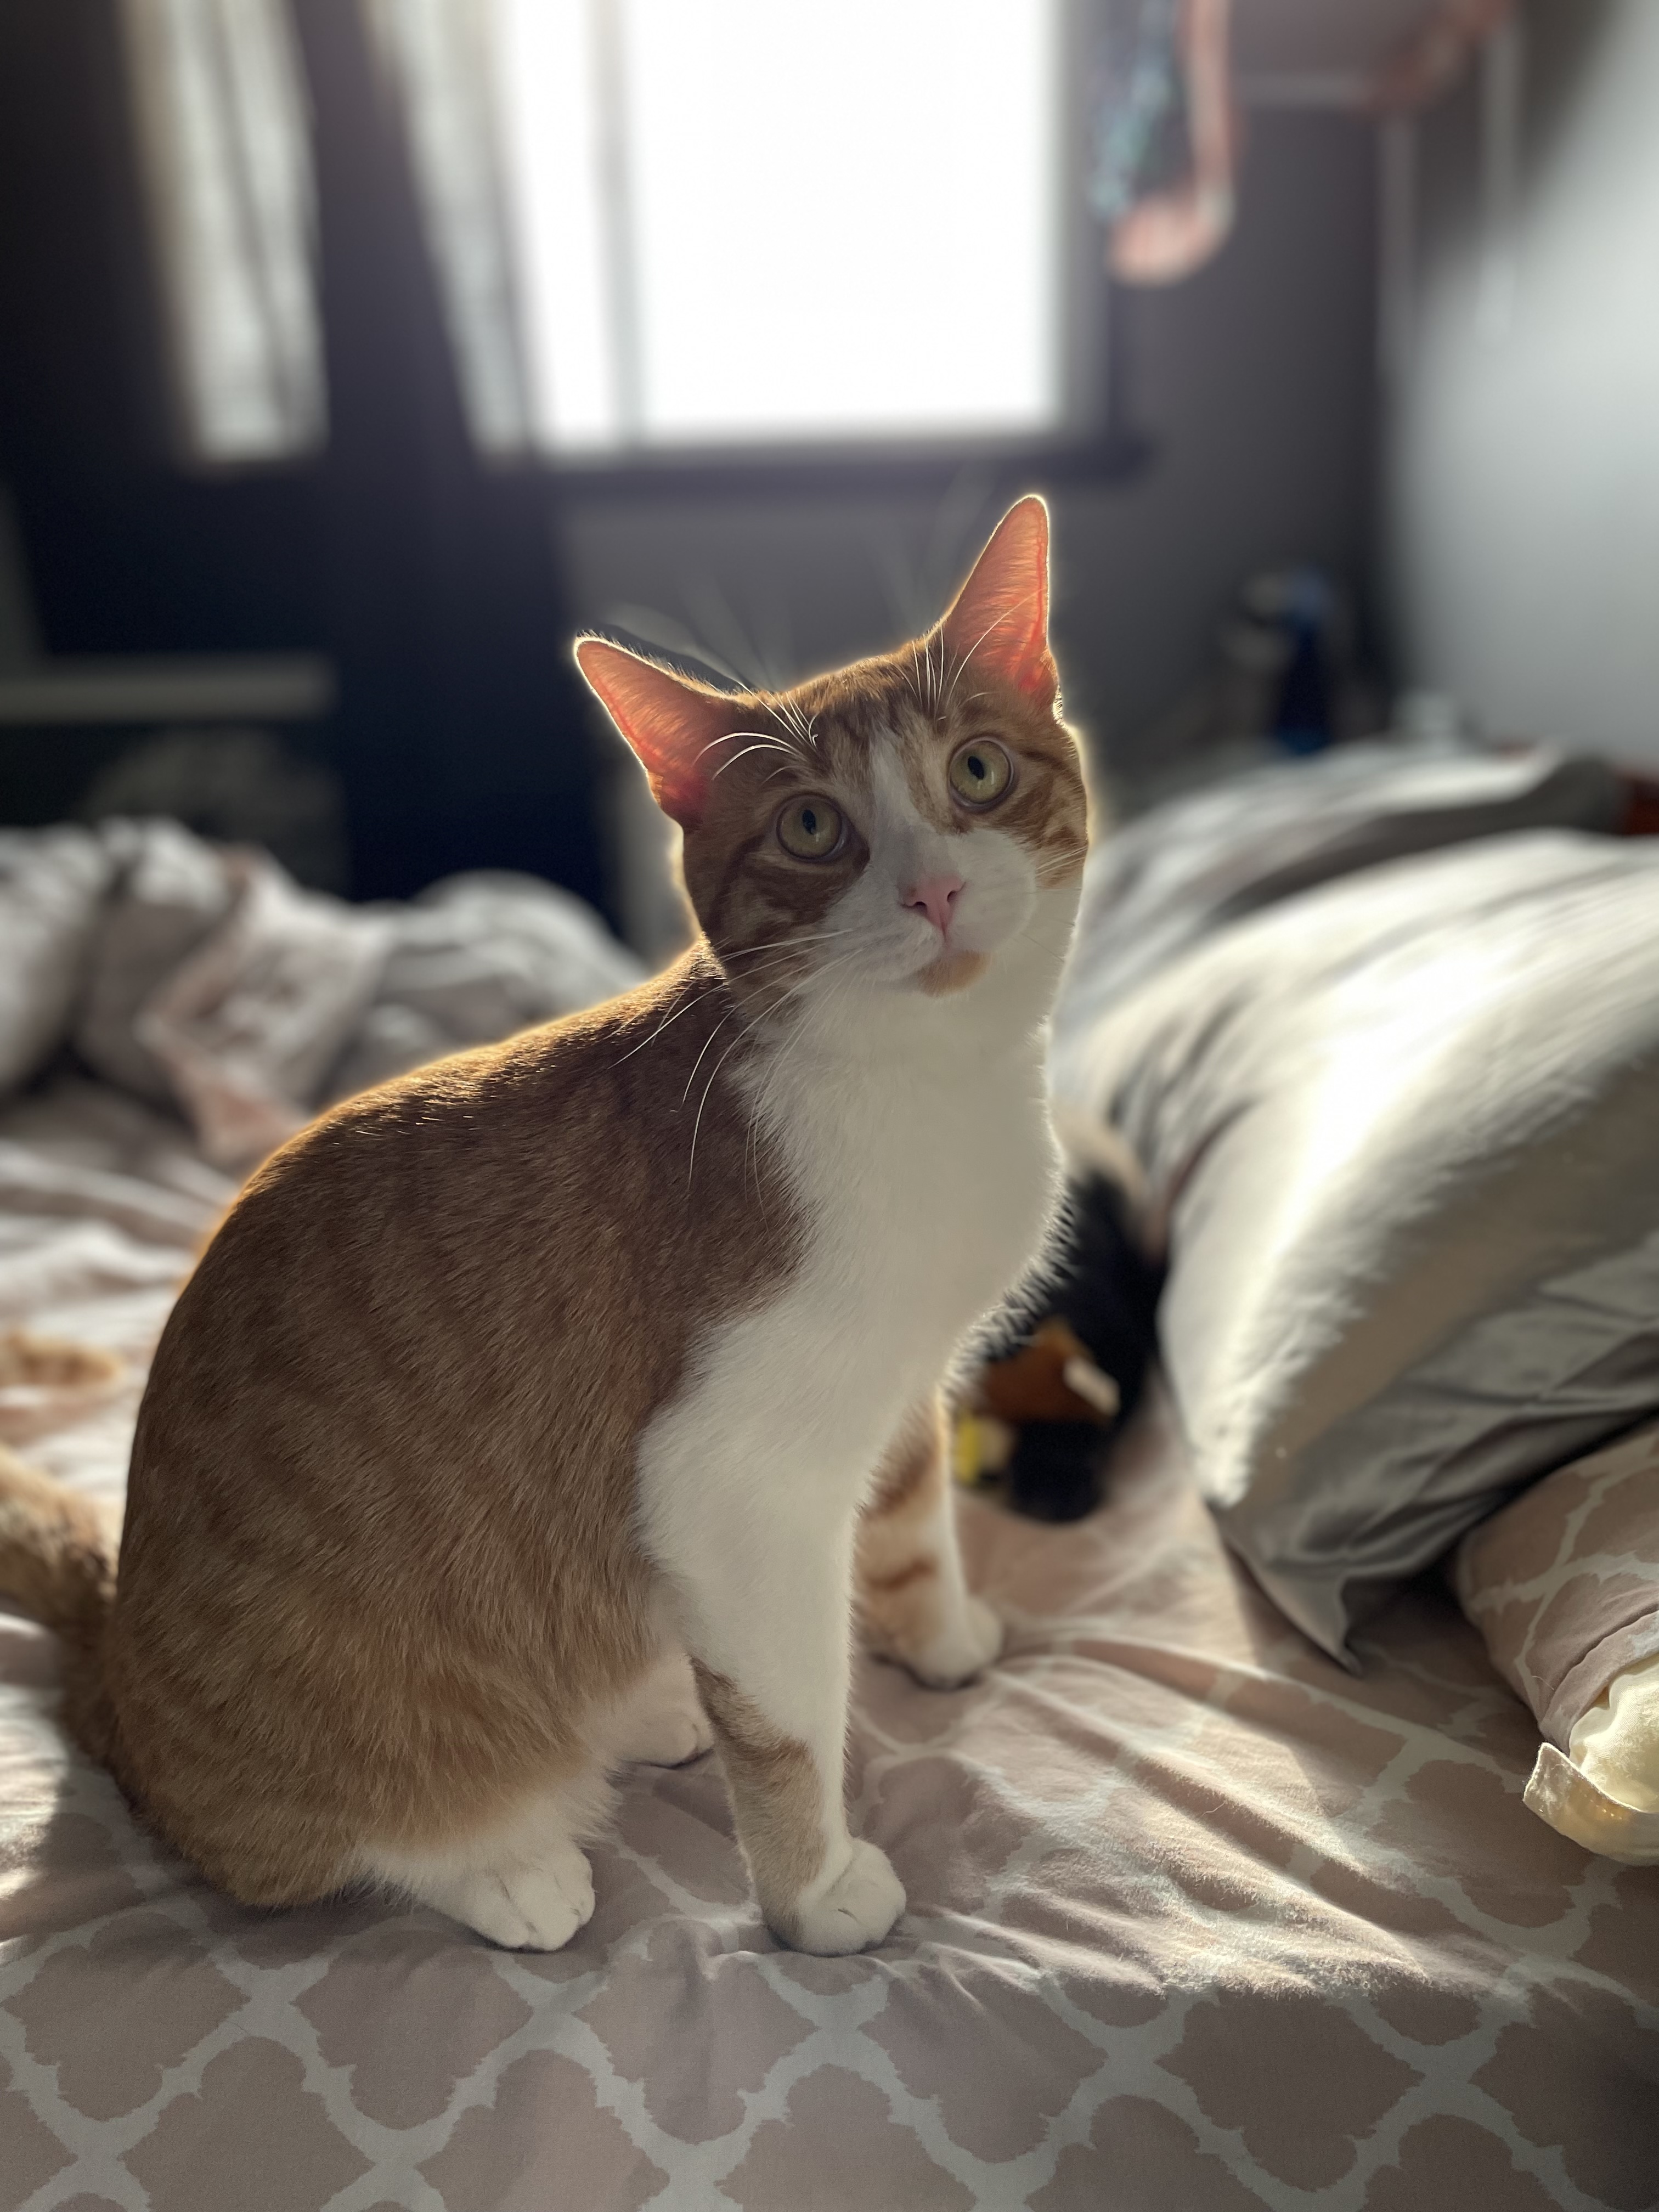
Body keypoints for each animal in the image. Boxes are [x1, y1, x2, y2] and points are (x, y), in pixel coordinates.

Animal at [0, 496, 1088, 1956]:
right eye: (812, 828)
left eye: (976, 771)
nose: (934, 895)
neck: (921, 1086)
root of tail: (114, 1658)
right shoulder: (731, 1478)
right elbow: (790, 1717)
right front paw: (814, 1889)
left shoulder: (908, 1377)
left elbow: (917, 1515)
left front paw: (944, 1635)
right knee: (345, 1841)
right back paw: (509, 1865)